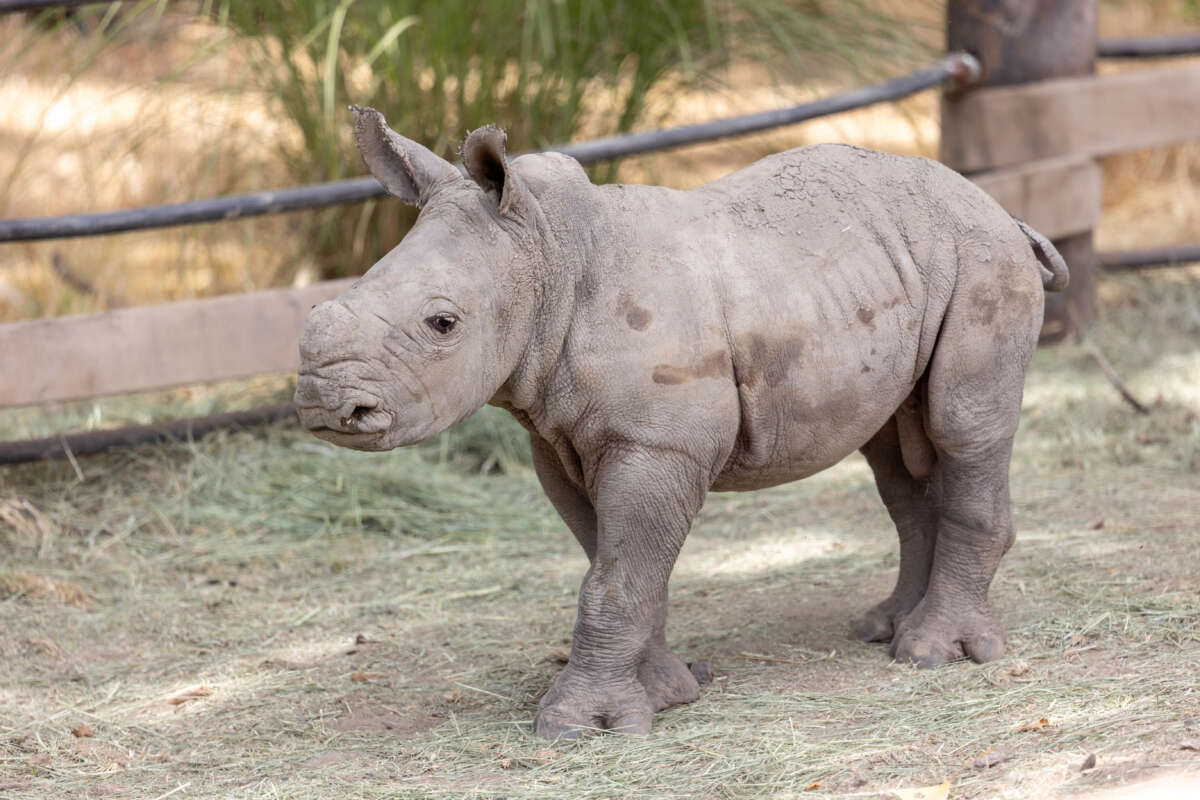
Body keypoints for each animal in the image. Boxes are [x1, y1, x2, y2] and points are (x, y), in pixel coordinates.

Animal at [294, 106, 1068, 739]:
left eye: (442, 324)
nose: (325, 405)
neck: (548, 254)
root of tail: (1002, 210)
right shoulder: (561, 442)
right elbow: (619, 565)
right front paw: (667, 694)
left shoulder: (656, 443)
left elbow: (615, 580)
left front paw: (578, 727)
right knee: (895, 455)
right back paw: (885, 628)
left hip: (980, 260)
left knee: (962, 427)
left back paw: (933, 654)